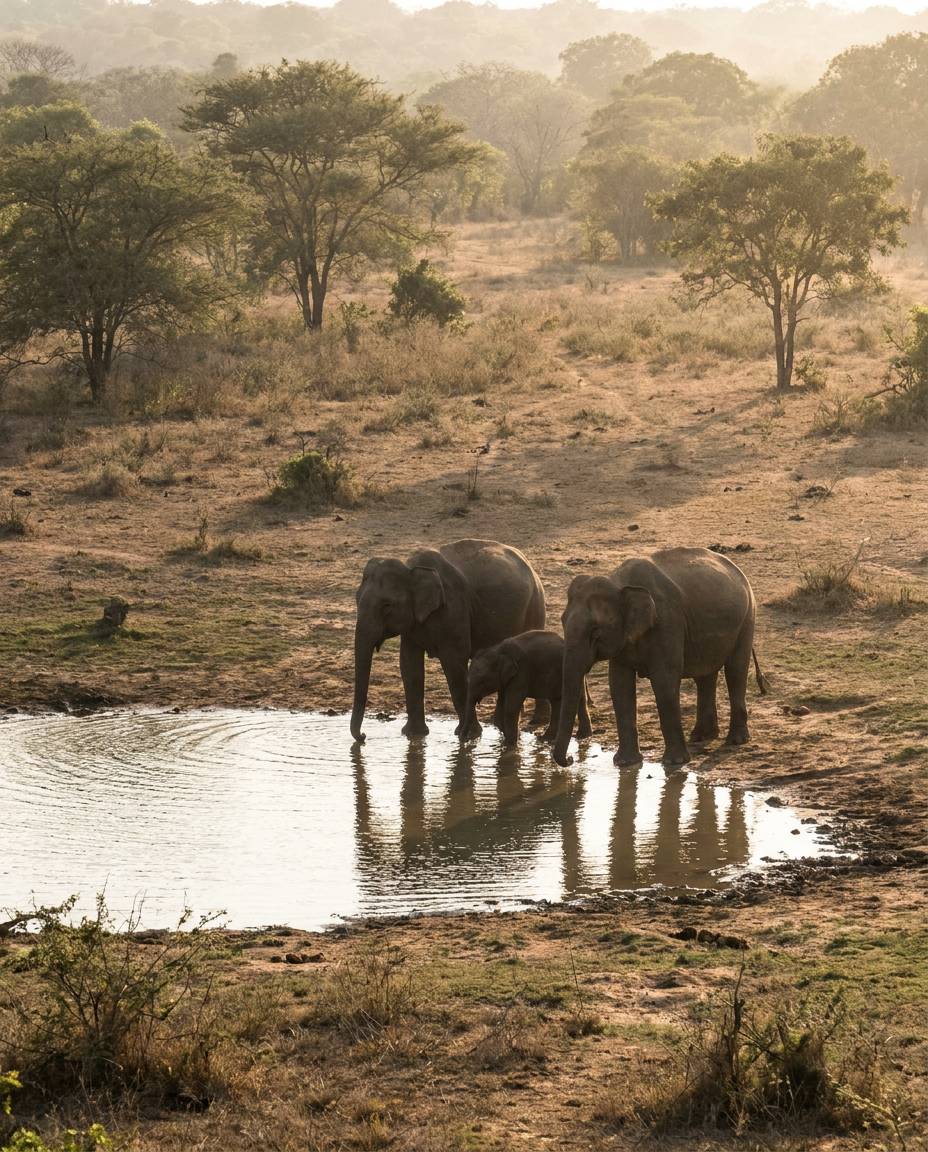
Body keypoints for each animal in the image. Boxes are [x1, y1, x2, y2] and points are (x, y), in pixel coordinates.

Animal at [350, 539, 546, 743]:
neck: (411, 568)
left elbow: (454, 666)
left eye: (387, 605)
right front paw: (414, 735)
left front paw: (468, 735)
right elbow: (409, 666)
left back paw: (535, 721)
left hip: (535, 606)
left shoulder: (454, 608)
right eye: (356, 599)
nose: (363, 736)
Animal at [463, 630, 593, 746]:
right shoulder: (507, 679)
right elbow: (501, 705)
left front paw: (510, 746)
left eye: (481, 682)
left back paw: (579, 736)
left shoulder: (521, 674)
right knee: (558, 701)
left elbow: (511, 707)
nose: (466, 740)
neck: (498, 650)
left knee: (576, 700)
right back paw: (547, 739)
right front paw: (507, 742)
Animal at [553, 547, 767, 769]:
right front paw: (625, 763)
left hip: (747, 618)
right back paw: (701, 737)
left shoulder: (667, 622)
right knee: (705, 676)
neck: (619, 583)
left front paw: (675, 762)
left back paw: (736, 740)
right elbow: (619, 685)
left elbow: (664, 681)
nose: (570, 759)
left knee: (735, 670)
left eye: (595, 632)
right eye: (562, 621)